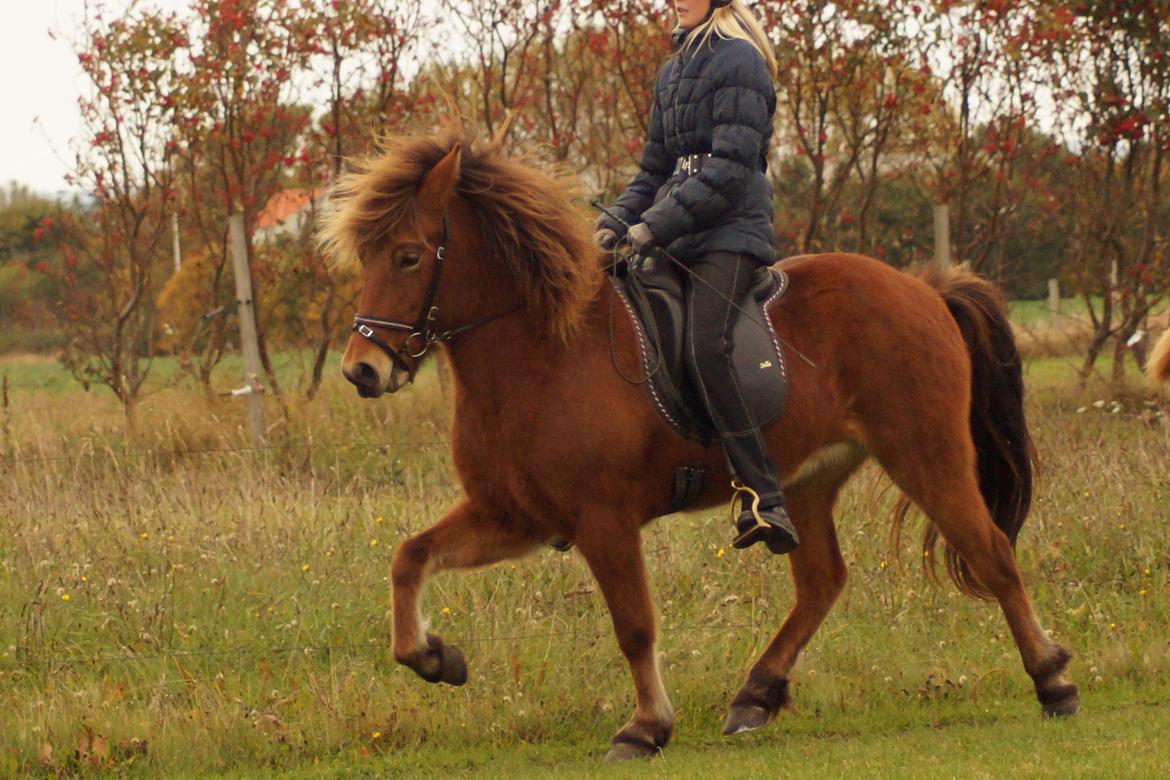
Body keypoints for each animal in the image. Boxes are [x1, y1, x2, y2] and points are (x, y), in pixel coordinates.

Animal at [318, 130, 1076, 757]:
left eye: (408, 256)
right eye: (367, 256)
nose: (363, 369)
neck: (538, 353)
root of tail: (923, 289)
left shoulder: (604, 521)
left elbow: (634, 625)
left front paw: (646, 728)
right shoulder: (515, 515)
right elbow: (409, 558)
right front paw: (434, 659)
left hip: (925, 452)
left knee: (990, 552)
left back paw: (1051, 681)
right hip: (804, 480)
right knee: (823, 580)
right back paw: (756, 695)